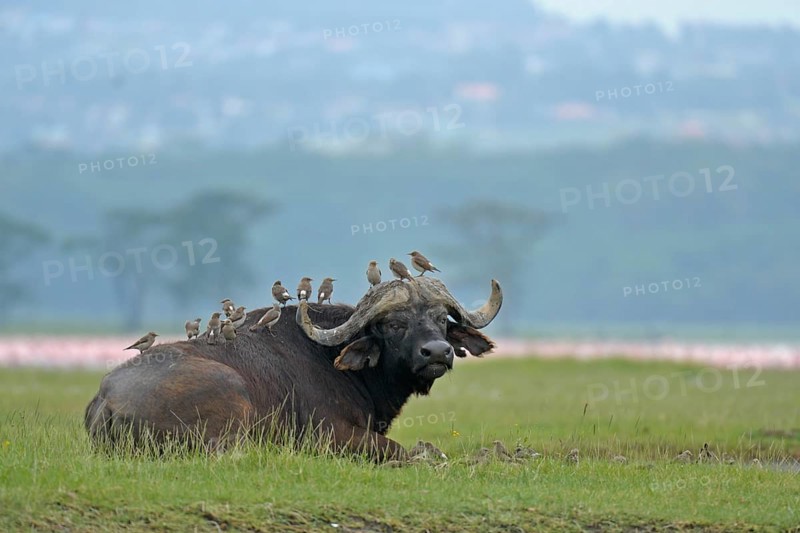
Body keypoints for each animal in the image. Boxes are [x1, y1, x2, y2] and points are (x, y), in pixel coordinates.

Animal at [84, 277, 502, 461]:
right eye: (394, 324)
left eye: (441, 319)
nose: (437, 352)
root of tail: (107, 400)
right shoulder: (331, 435)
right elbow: (402, 450)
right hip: (231, 396)